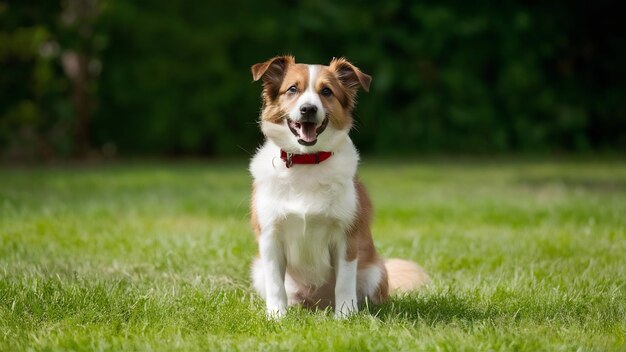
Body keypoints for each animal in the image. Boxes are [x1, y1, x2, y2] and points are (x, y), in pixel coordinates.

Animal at [249, 55, 428, 320]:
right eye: (292, 89)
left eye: (326, 91)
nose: (309, 109)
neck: (306, 161)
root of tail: (319, 305)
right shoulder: (270, 237)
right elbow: (275, 284)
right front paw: (276, 316)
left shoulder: (346, 236)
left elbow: (344, 281)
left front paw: (345, 316)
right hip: (257, 269)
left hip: (375, 271)